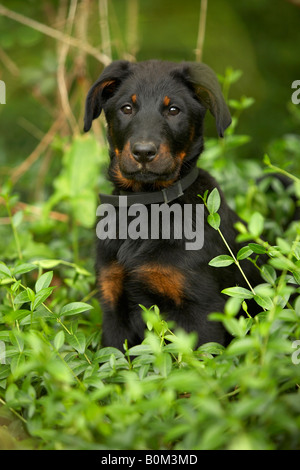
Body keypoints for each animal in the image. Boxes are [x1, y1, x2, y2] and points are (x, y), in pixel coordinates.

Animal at [83, 59, 262, 348]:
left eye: (173, 110)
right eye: (127, 108)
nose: (144, 152)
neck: (146, 205)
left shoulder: (201, 312)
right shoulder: (112, 306)